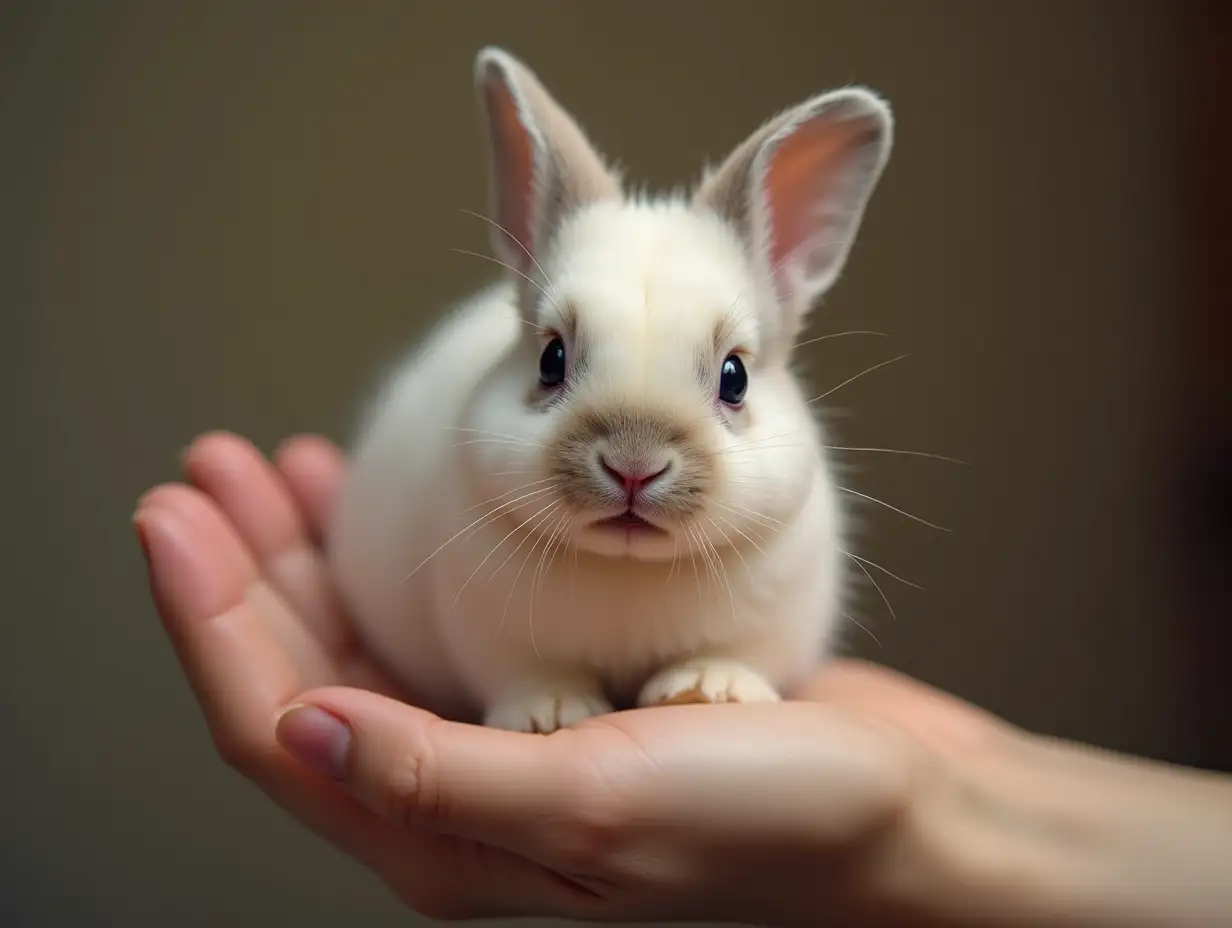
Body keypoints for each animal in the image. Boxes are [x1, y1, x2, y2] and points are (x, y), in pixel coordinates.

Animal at [322, 48, 891, 729]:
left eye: (735, 377)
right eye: (551, 359)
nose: (633, 467)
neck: (627, 570)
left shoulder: (771, 625)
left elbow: (736, 656)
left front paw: (709, 689)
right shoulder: (494, 638)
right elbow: (527, 674)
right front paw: (550, 713)